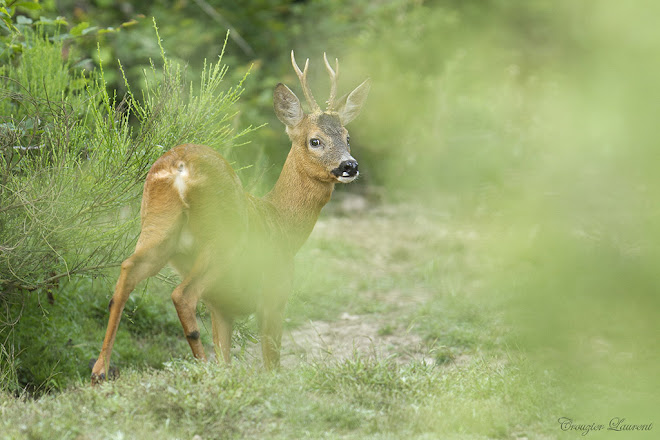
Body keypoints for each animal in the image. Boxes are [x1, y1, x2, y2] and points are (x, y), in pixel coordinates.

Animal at [91, 50, 372, 382]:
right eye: (315, 140)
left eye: (347, 137)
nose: (349, 165)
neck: (282, 224)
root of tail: (180, 165)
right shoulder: (274, 292)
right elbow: (271, 362)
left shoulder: (221, 305)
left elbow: (226, 352)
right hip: (222, 240)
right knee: (182, 294)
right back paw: (203, 368)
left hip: (156, 228)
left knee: (126, 274)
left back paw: (100, 370)